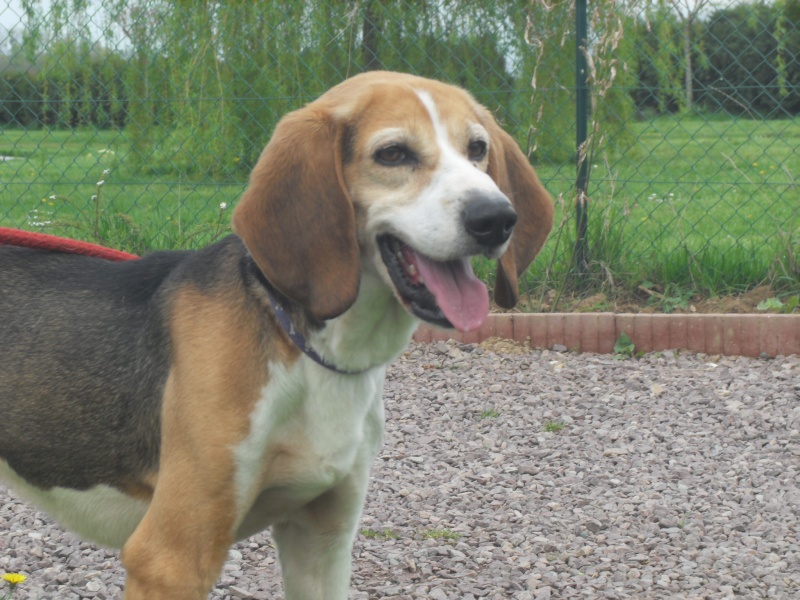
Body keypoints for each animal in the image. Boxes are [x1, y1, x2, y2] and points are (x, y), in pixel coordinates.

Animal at [0, 71, 552, 600]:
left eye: (477, 148)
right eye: (393, 153)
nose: (496, 217)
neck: (310, 352)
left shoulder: (323, 541)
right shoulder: (170, 560)